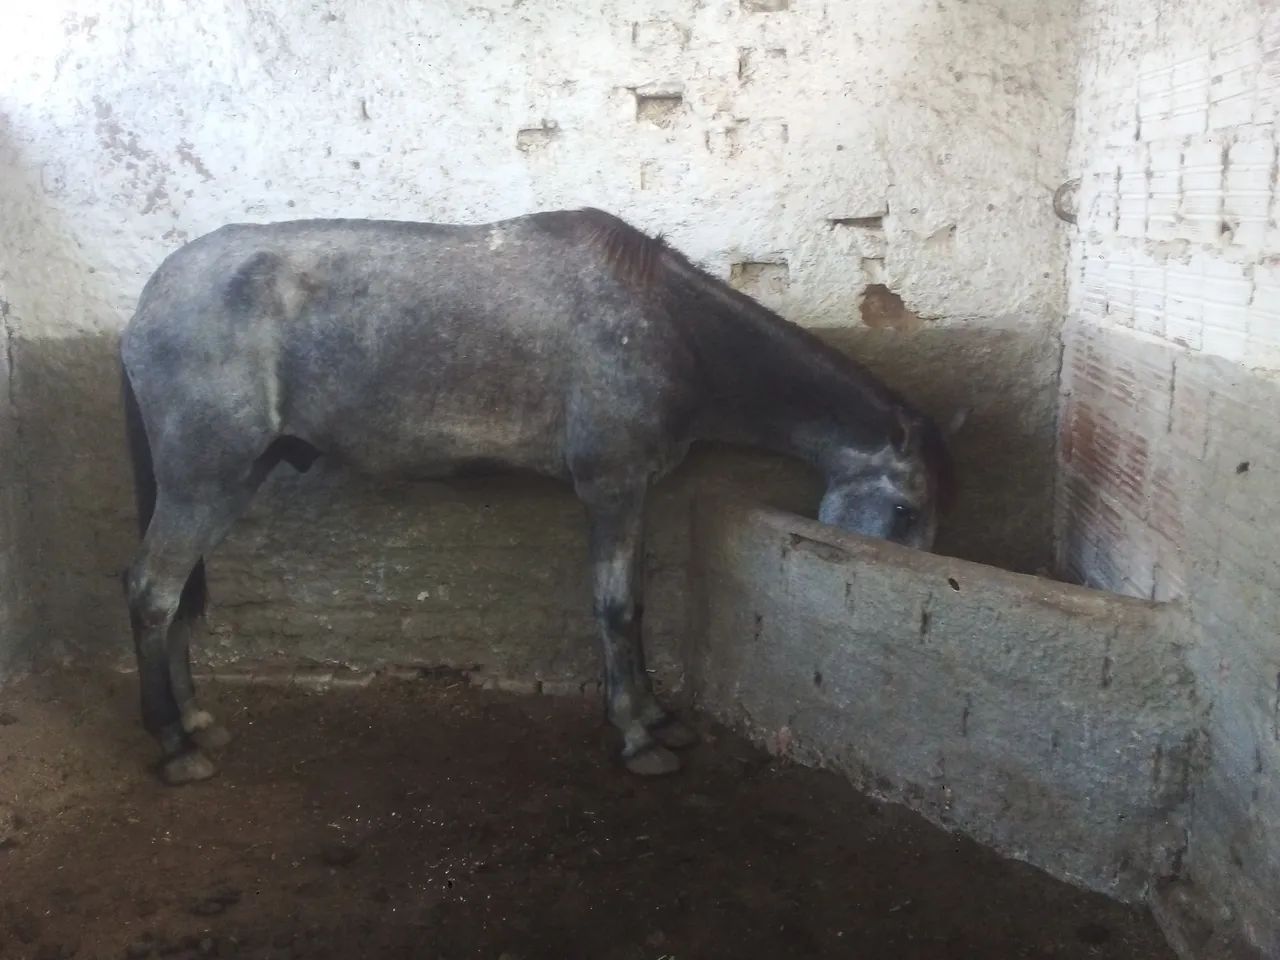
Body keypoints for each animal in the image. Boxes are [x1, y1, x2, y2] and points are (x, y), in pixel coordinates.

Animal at [120, 207, 959, 785]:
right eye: (906, 509)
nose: (899, 599)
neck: (672, 328)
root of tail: (145, 305)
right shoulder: (612, 488)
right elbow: (614, 608)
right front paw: (638, 736)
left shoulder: (635, 493)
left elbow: (634, 605)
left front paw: (656, 716)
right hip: (204, 481)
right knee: (152, 593)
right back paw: (173, 745)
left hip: (235, 477)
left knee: (171, 596)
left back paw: (194, 719)